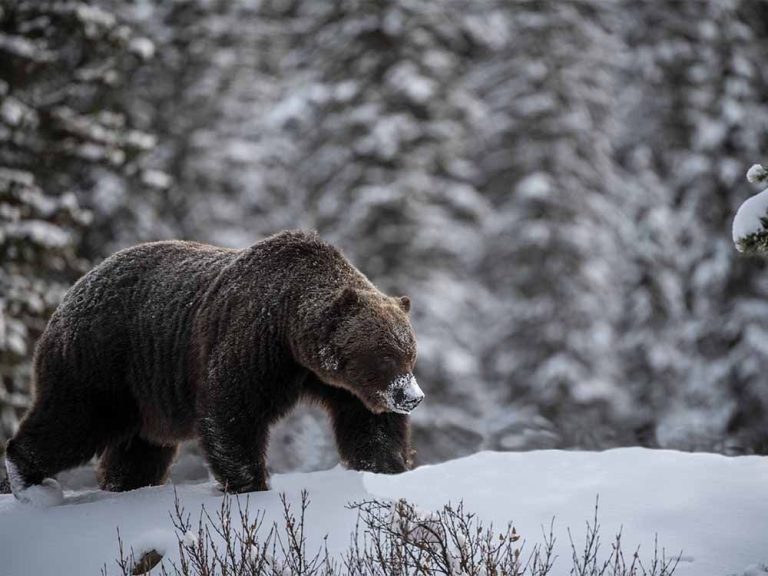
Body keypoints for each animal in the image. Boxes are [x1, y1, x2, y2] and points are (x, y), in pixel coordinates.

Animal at [3, 230, 424, 504]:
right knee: (73, 420)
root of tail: (70, 293)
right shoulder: (253, 342)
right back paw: (27, 479)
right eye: (385, 354)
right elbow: (232, 411)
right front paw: (250, 484)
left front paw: (388, 468)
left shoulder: (333, 382)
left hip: (145, 394)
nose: (412, 396)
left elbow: (368, 425)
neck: (290, 328)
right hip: (101, 360)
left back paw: (125, 486)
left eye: (410, 353)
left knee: (139, 451)